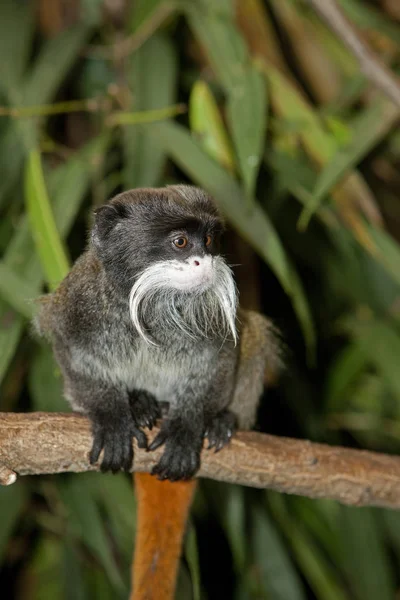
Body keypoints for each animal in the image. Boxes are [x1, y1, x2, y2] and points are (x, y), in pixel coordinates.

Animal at [34, 185, 282, 596]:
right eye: (180, 242)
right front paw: (111, 417)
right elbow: (73, 360)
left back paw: (220, 420)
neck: (150, 304)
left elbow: (220, 361)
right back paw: (142, 405)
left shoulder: (214, 322)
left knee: (255, 337)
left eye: (209, 241)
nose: (205, 262)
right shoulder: (76, 307)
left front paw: (188, 427)